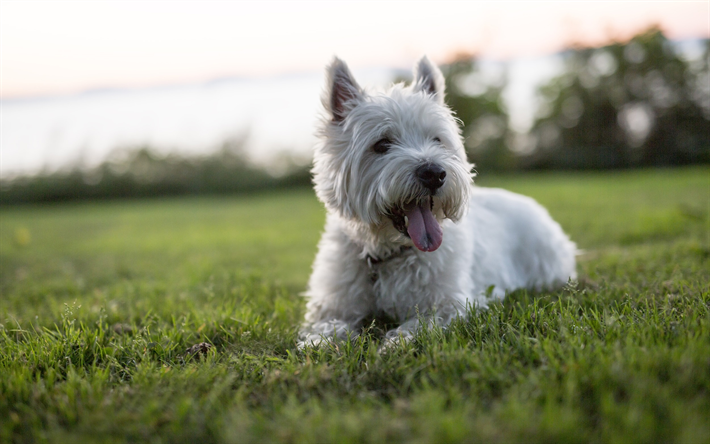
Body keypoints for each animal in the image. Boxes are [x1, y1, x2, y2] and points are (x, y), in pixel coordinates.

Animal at [298, 56, 576, 346]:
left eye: (437, 139)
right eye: (382, 144)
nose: (434, 173)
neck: (387, 255)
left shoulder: (450, 303)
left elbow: (421, 322)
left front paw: (396, 342)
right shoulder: (334, 304)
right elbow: (328, 324)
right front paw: (321, 343)